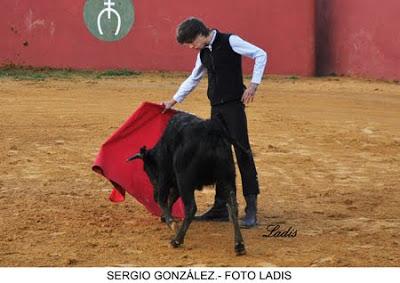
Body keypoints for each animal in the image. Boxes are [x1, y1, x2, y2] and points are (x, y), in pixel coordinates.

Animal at [128, 112, 247, 256]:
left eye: (146, 169)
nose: (153, 187)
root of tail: (211, 129)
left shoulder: (165, 177)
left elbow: (162, 199)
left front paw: (171, 222)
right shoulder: (175, 182)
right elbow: (171, 198)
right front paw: (165, 218)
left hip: (184, 179)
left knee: (190, 208)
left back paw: (176, 240)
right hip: (227, 178)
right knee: (233, 207)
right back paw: (239, 245)